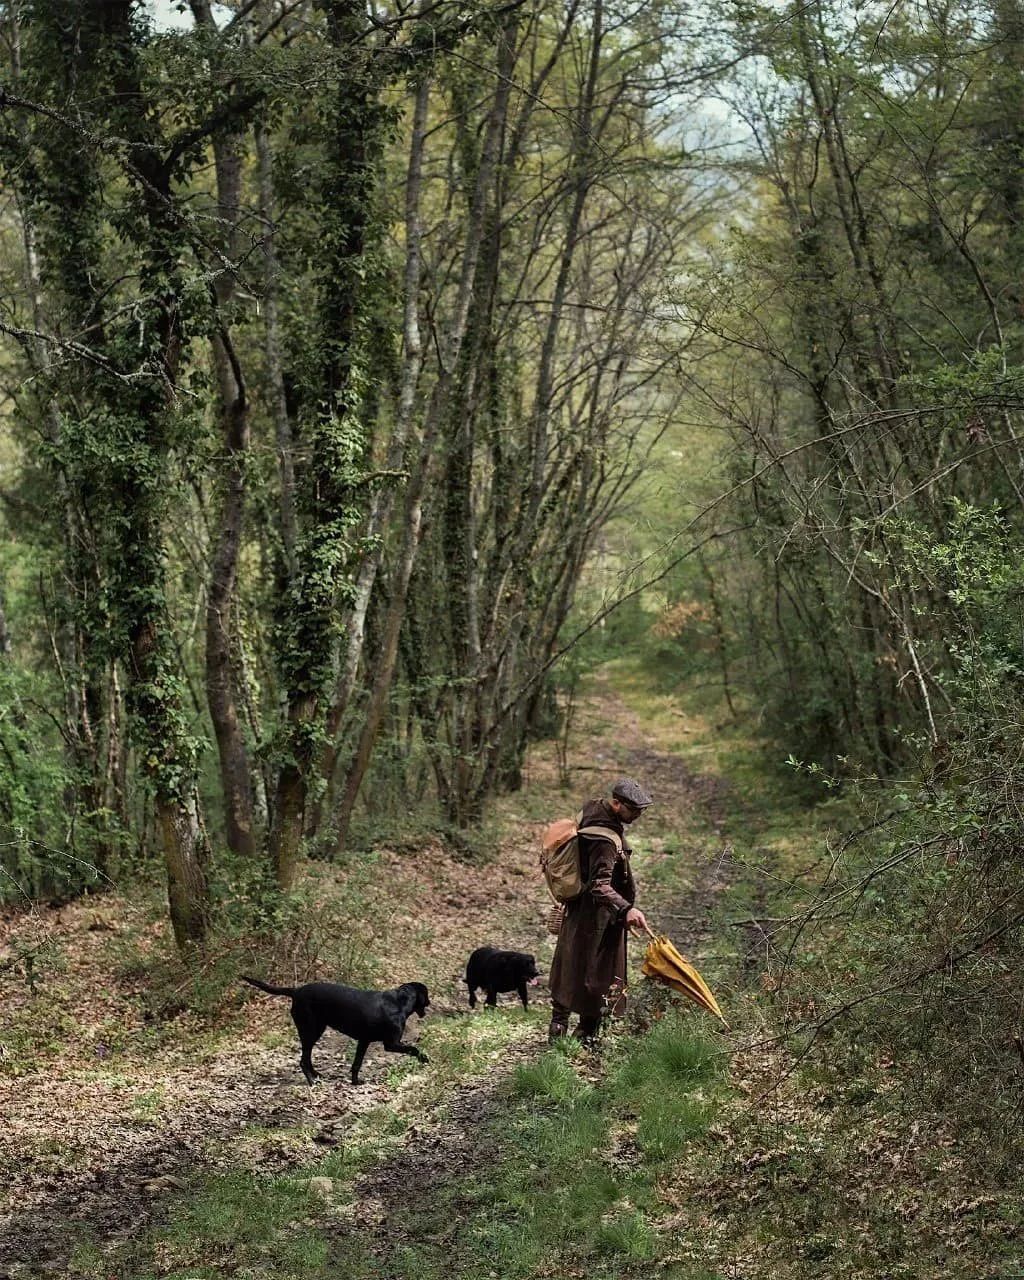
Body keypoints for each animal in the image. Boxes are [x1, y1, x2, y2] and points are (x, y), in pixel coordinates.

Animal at [241, 972, 430, 1085]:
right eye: (426, 994)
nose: (429, 1002)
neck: (399, 1002)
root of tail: (296, 991)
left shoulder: (364, 1041)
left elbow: (356, 1064)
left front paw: (355, 1082)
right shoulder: (390, 1044)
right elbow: (413, 1048)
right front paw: (425, 1059)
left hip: (315, 1030)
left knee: (307, 1058)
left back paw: (317, 1075)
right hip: (310, 1030)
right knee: (303, 1060)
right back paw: (312, 1082)